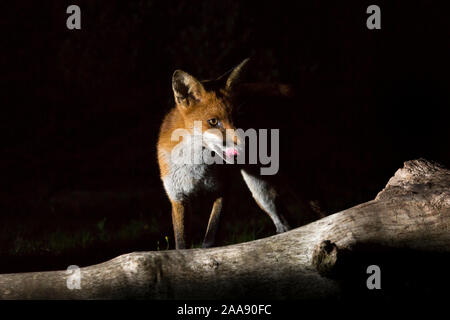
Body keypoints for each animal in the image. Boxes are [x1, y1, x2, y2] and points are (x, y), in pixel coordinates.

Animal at [158, 60, 290, 250]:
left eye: (238, 118)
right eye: (213, 121)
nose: (245, 145)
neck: (196, 171)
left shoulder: (222, 190)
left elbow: (211, 237)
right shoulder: (178, 197)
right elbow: (181, 243)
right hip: (261, 192)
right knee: (284, 225)